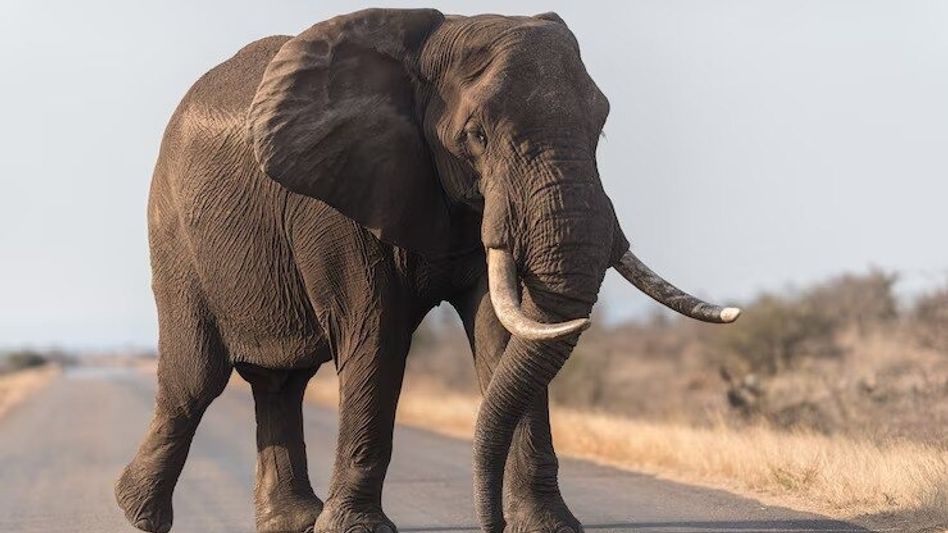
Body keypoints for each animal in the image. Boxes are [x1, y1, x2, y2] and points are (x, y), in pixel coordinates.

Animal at [115, 8, 739, 533]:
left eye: (601, 129)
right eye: (477, 136)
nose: (489, 525)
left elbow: (502, 334)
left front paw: (548, 527)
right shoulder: (335, 198)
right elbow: (376, 337)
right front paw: (356, 531)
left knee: (280, 382)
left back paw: (291, 522)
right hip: (174, 236)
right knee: (196, 379)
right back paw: (139, 514)